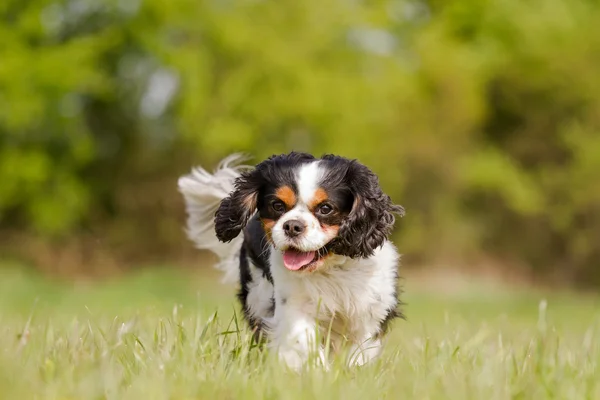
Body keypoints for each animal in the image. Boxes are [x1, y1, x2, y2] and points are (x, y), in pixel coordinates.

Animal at [178, 152, 404, 368]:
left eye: (325, 208)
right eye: (277, 205)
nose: (292, 226)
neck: (331, 268)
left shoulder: (371, 312)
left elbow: (360, 353)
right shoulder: (294, 306)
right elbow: (303, 341)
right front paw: (317, 372)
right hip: (258, 297)